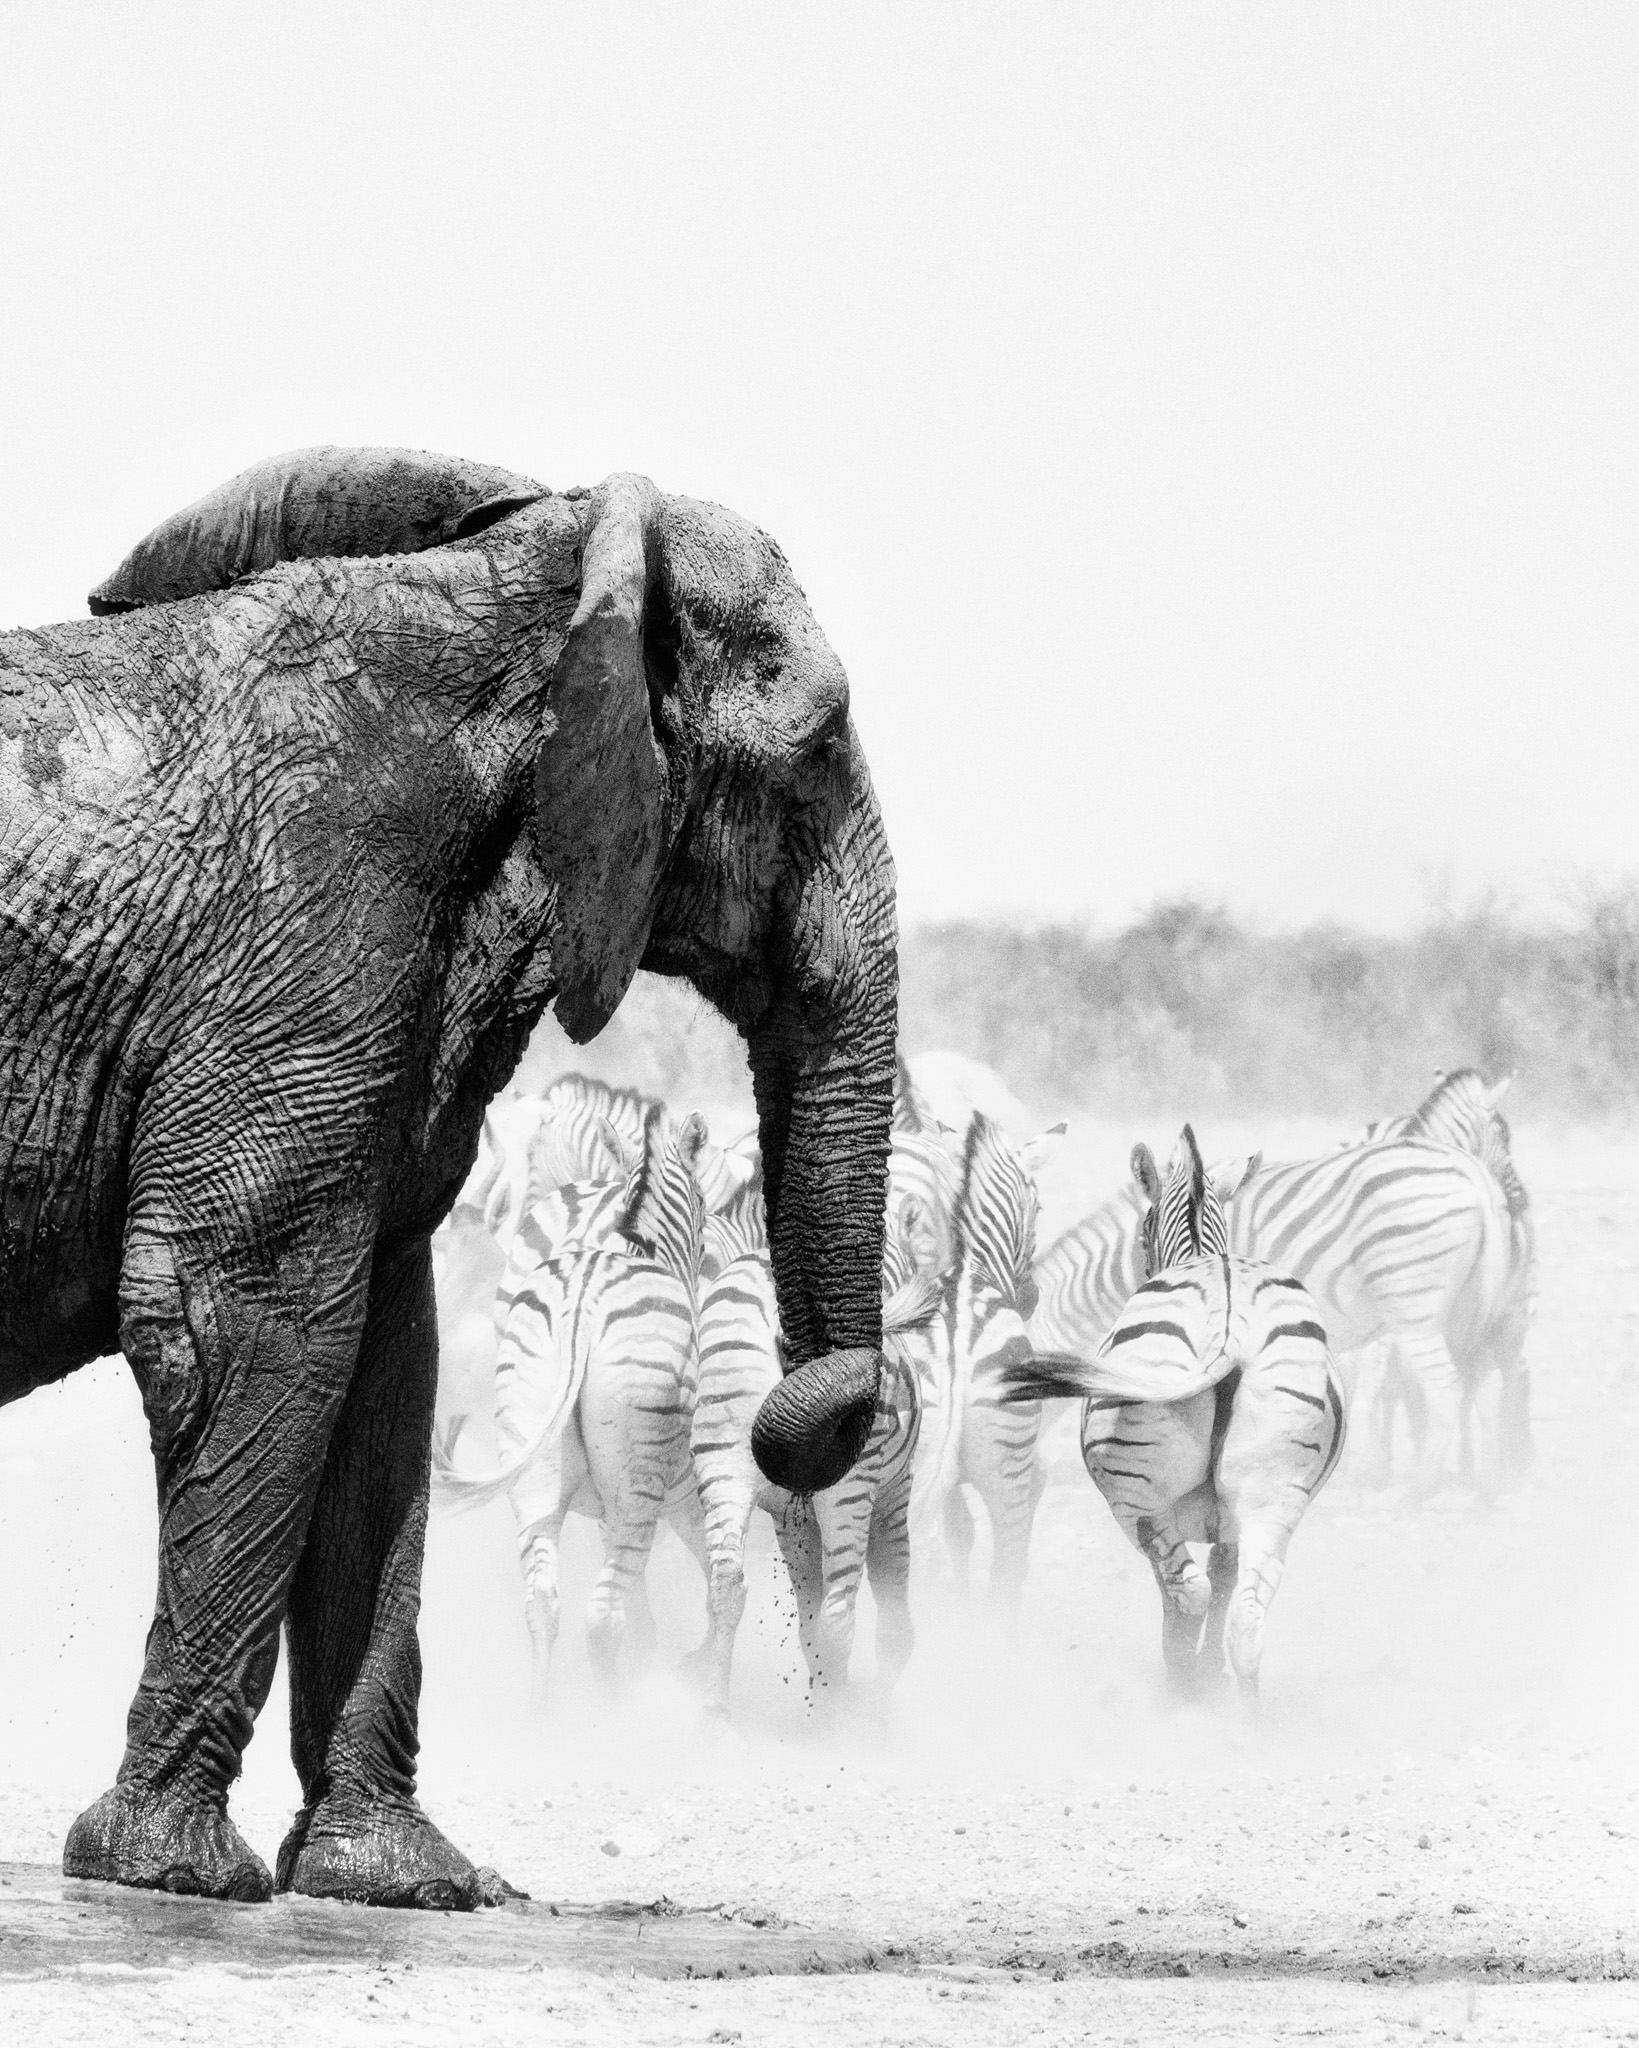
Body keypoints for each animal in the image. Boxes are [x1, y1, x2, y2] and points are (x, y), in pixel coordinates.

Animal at [0, 445, 897, 1909]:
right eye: (816, 749)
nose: (788, 1421)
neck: (535, 585)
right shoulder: (306, 941)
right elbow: (242, 1323)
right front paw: (167, 1874)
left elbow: (386, 1373)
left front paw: (407, 1883)